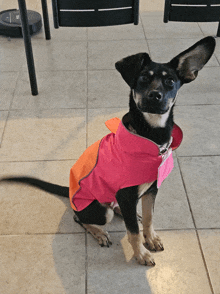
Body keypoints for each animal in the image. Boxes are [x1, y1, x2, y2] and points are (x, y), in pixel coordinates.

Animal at [0, 35, 216, 266]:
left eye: (170, 82)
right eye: (142, 78)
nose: (155, 96)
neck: (150, 137)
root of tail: (70, 192)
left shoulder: (151, 190)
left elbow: (149, 219)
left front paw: (151, 238)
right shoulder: (128, 194)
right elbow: (133, 232)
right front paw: (141, 254)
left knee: (120, 210)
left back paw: (127, 214)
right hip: (100, 210)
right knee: (80, 218)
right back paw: (100, 233)